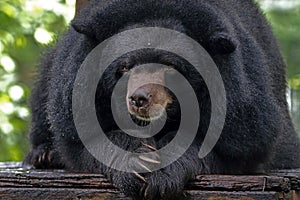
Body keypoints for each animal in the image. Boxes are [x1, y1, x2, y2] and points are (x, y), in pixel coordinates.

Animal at [24, 0, 300, 199]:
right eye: (124, 67)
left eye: (171, 66)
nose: (139, 99)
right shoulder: (76, 91)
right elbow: (85, 137)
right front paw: (138, 164)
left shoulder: (242, 108)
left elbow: (229, 144)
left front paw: (162, 175)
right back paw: (45, 154)